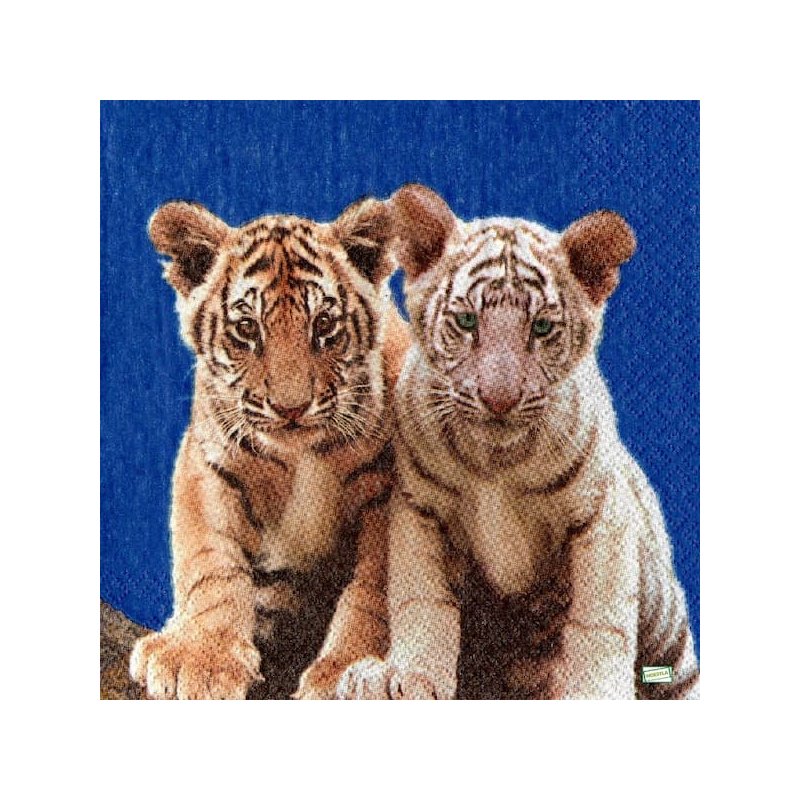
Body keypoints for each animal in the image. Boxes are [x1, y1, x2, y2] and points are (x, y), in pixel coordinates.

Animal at [129, 195, 409, 699]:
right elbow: (210, 561)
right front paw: (198, 656)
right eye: (247, 329)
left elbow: (375, 588)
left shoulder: (391, 487)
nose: (290, 408)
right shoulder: (209, 466)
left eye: (324, 325)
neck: (298, 457)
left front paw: (348, 669)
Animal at [336, 183, 699, 700]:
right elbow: (421, 598)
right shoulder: (418, 506)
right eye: (467, 322)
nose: (500, 399)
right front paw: (406, 675)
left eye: (541, 328)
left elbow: (599, 618)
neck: (495, 459)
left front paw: (594, 692)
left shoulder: (602, 512)